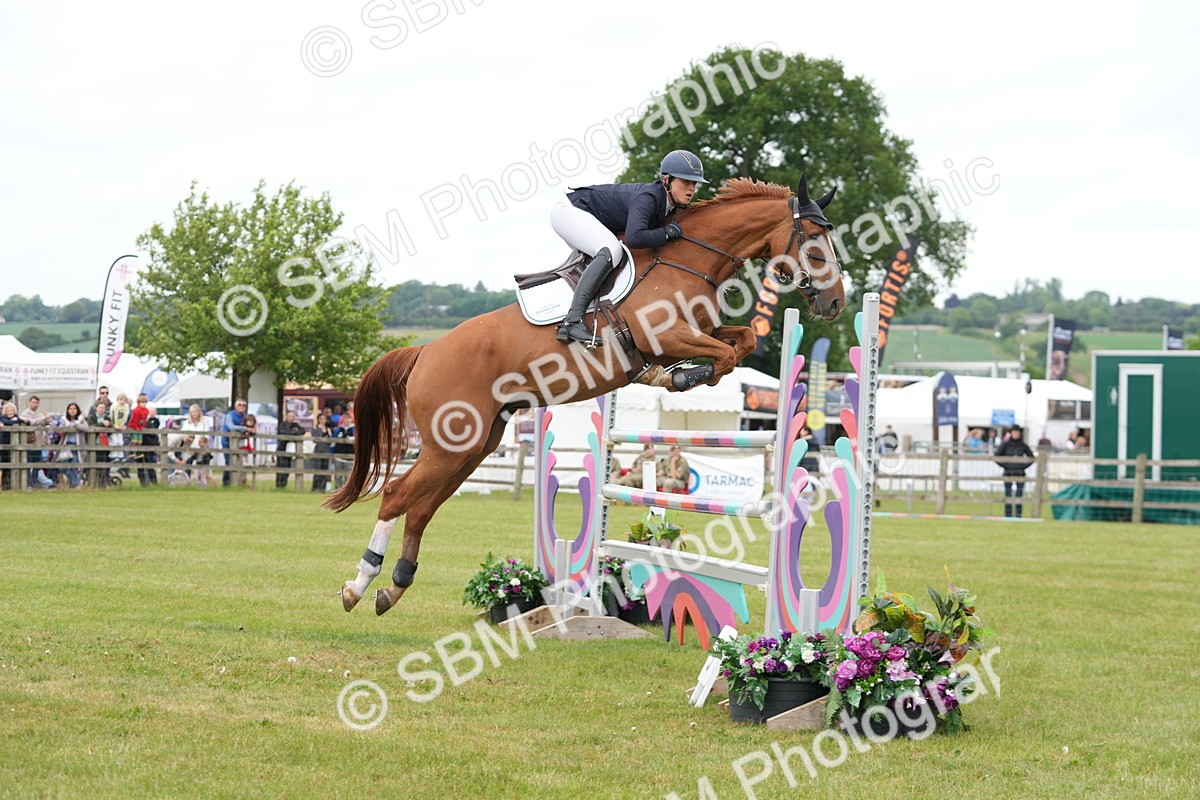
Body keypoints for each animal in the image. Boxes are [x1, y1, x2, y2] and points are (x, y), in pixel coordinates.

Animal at [329, 174, 845, 615]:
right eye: (813, 242)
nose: (836, 302)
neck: (689, 259)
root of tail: (424, 351)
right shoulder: (670, 335)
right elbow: (722, 353)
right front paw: (677, 379)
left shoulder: (698, 331)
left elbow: (742, 342)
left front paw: (682, 376)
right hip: (448, 444)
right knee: (397, 495)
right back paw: (359, 585)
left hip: (473, 445)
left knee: (421, 508)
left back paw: (394, 587)